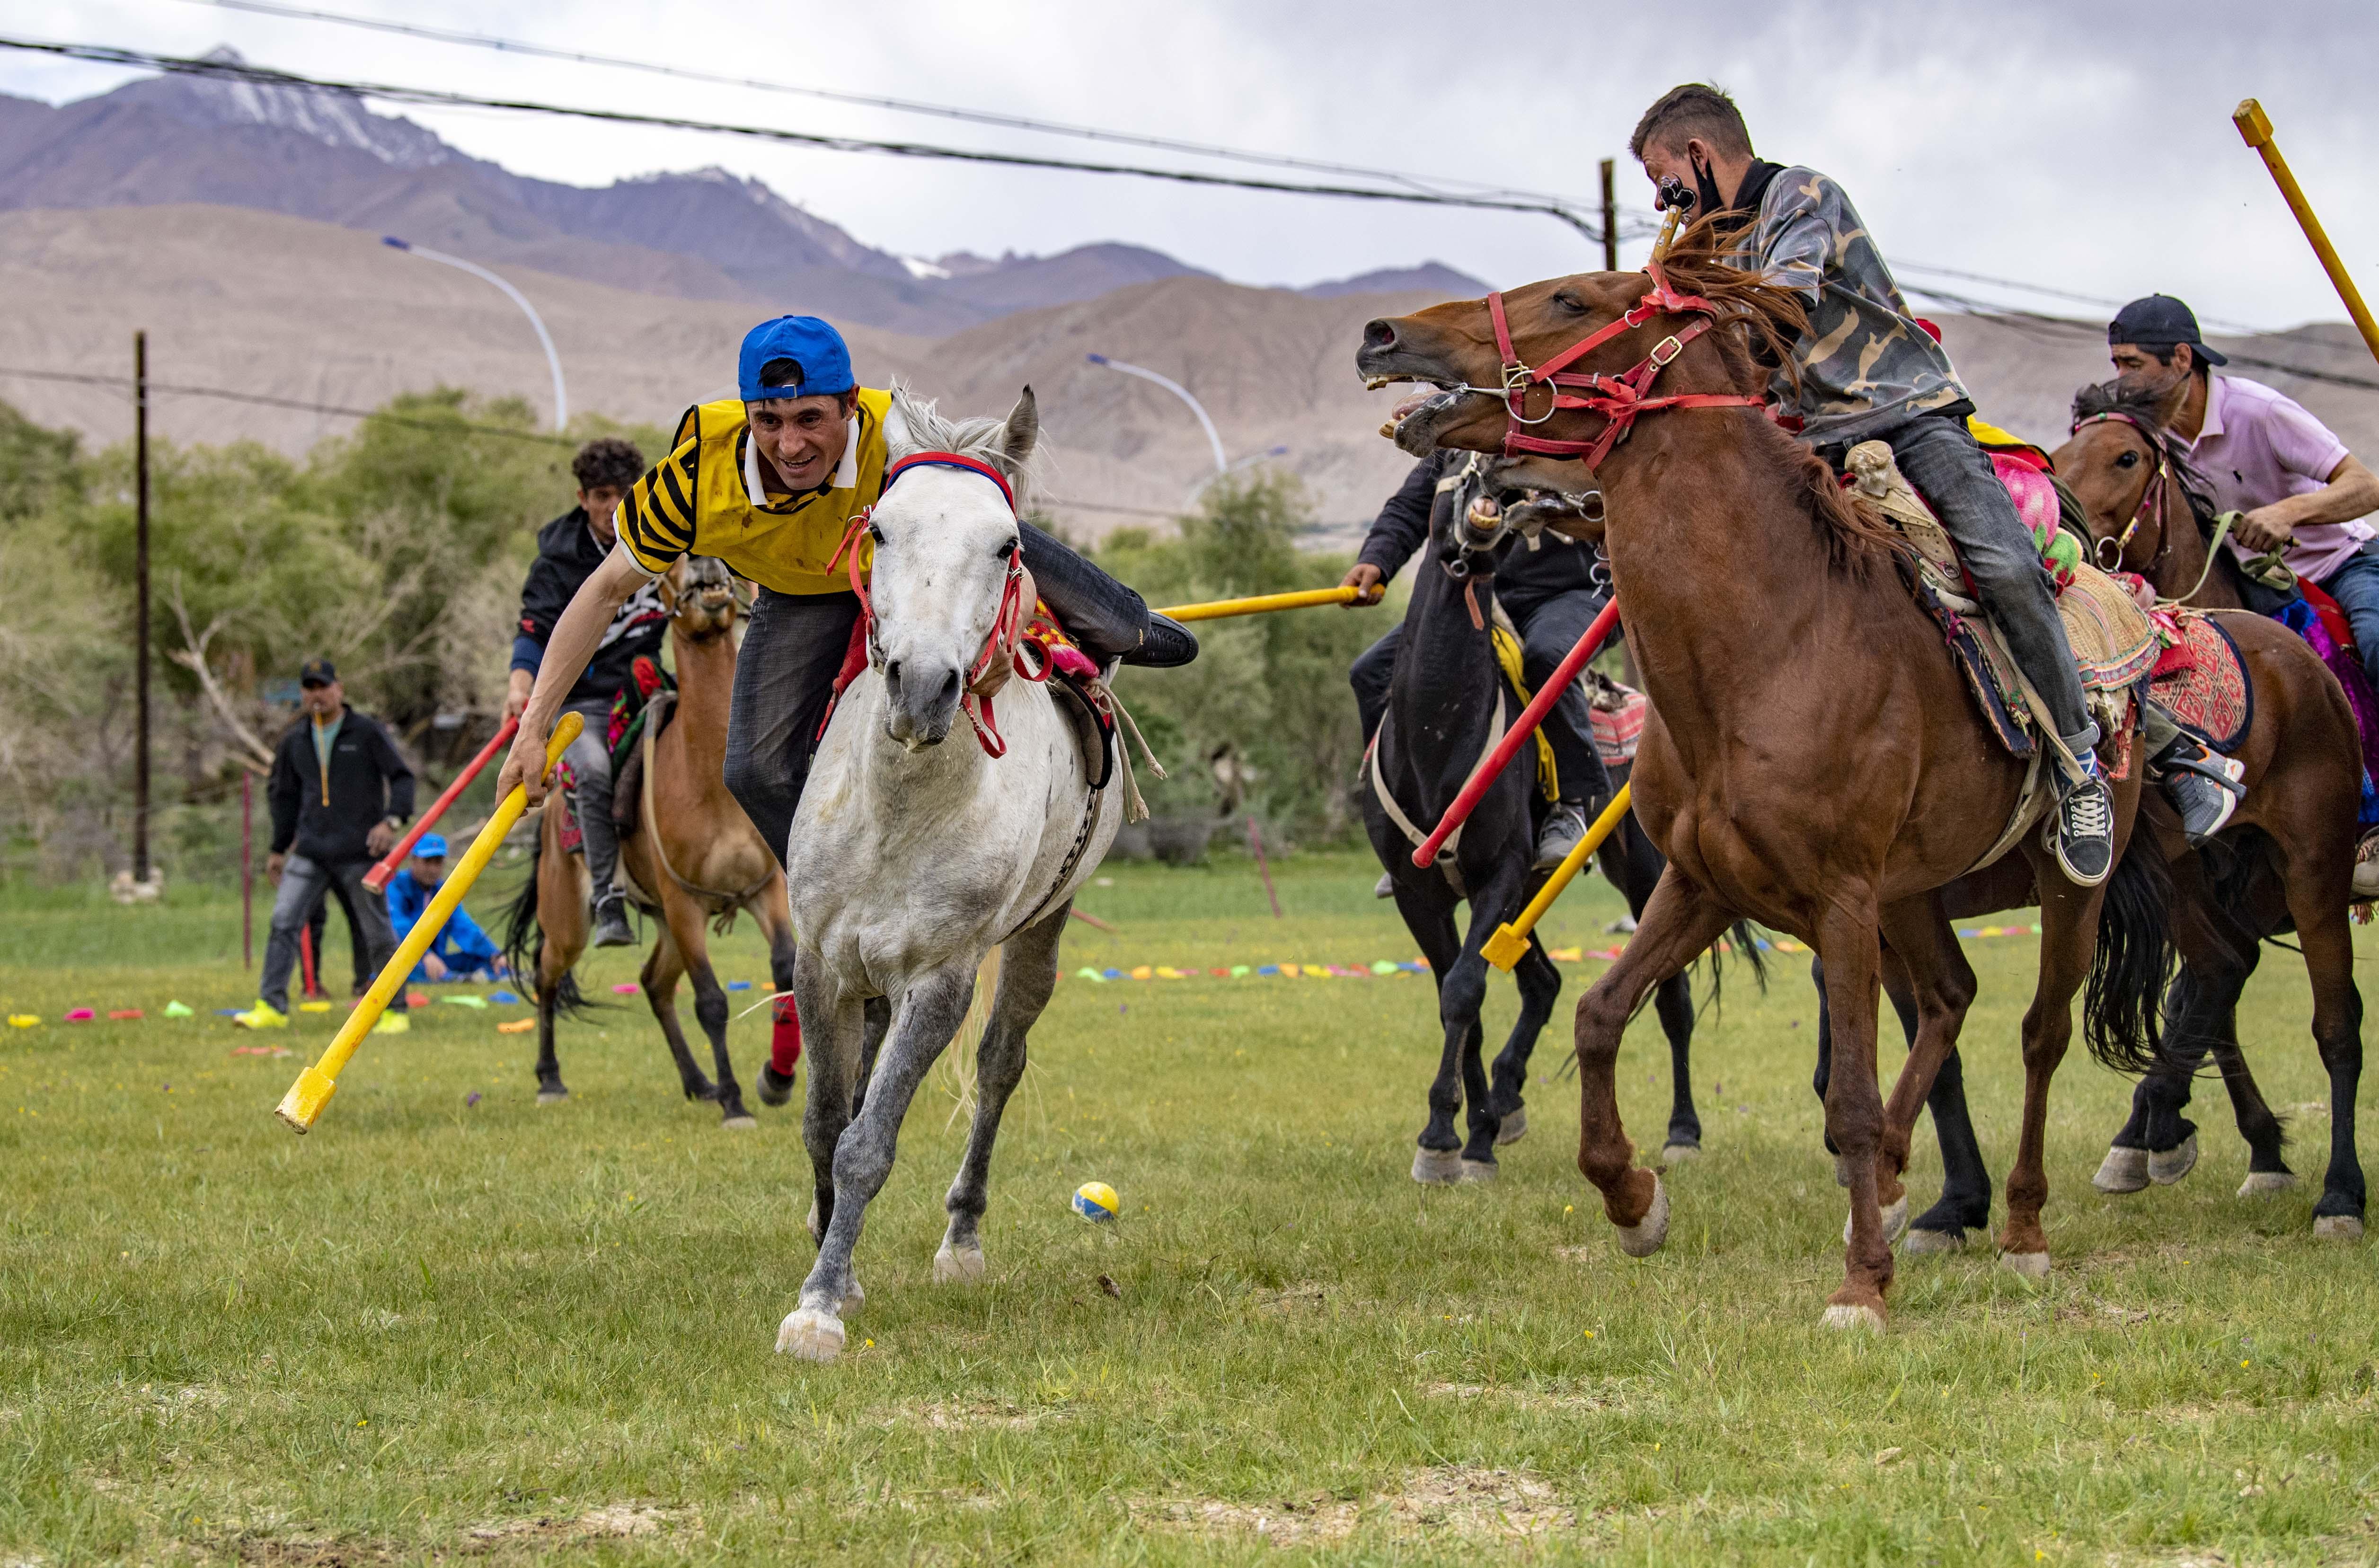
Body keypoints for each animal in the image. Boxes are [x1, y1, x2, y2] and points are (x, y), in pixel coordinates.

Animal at [502, 559, 799, 1123]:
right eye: (671, 567)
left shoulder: (762, 890)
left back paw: (698, 1081)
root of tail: (551, 814)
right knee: (546, 974)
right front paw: (735, 1102)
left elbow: (785, 969)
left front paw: (776, 1078)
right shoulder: (684, 903)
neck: (708, 774)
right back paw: (550, 1078)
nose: (706, 563)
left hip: (666, 923)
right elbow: (711, 1002)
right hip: (574, 922)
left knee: (653, 984)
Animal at [770, 383, 1123, 1361]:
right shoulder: (820, 962)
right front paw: (835, 1267)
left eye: (1006, 543)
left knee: (1001, 1065)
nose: (923, 686)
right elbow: (826, 1119)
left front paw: (818, 1305)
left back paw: (961, 1239)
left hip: (1042, 930)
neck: (897, 812)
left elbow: (867, 1142)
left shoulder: (940, 981)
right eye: (881, 530)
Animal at [1361, 221, 2179, 1323]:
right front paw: (1633, 1200)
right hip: (1911, 891)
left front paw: (1860, 1284)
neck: (1768, 646)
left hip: (2060, 888)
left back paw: (2017, 1227)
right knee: (1950, 998)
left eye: (1572, 298)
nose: (1382, 332)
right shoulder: (1701, 880)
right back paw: (1894, 1184)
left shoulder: (1837, 900)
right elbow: (1598, 1014)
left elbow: (1846, 1095)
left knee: (2038, 1033)